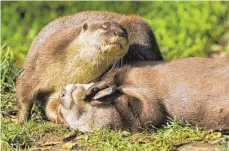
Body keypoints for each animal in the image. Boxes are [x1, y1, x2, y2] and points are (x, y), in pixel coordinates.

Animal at [16, 10, 163, 124]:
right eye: (104, 27)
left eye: (125, 32)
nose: (120, 33)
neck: (67, 71)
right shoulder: (36, 65)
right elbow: (24, 92)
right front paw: (21, 120)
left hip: (139, 28)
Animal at [56, 54, 229, 132]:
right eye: (61, 115)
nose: (61, 93)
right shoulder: (147, 116)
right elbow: (145, 113)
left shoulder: (133, 68)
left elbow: (117, 72)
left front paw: (96, 89)